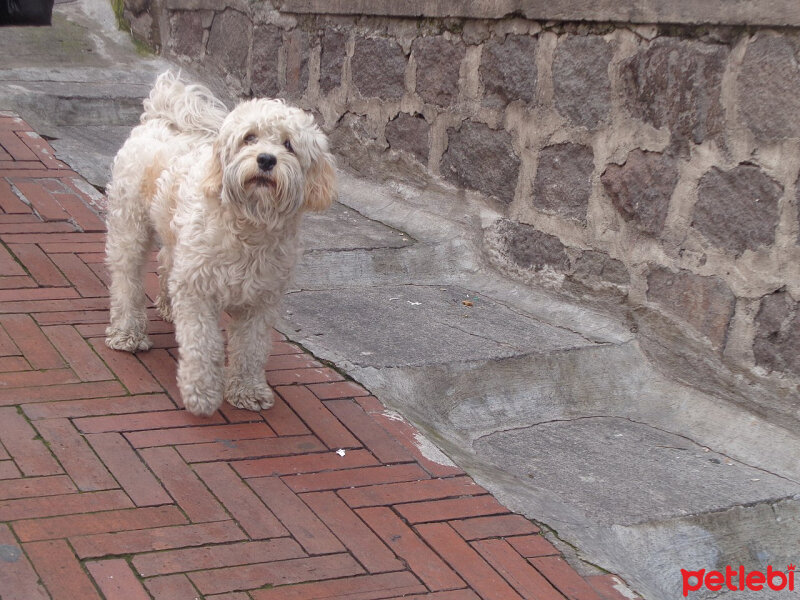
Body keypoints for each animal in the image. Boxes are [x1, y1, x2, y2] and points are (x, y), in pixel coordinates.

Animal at [104, 72, 336, 414]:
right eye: (249, 138)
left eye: (288, 145)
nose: (266, 159)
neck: (249, 228)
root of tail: (161, 116)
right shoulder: (197, 291)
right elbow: (203, 344)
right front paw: (200, 393)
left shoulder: (261, 301)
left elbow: (251, 348)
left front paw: (247, 390)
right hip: (129, 227)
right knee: (126, 281)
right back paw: (127, 332)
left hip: (174, 240)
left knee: (165, 261)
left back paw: (167, 306)